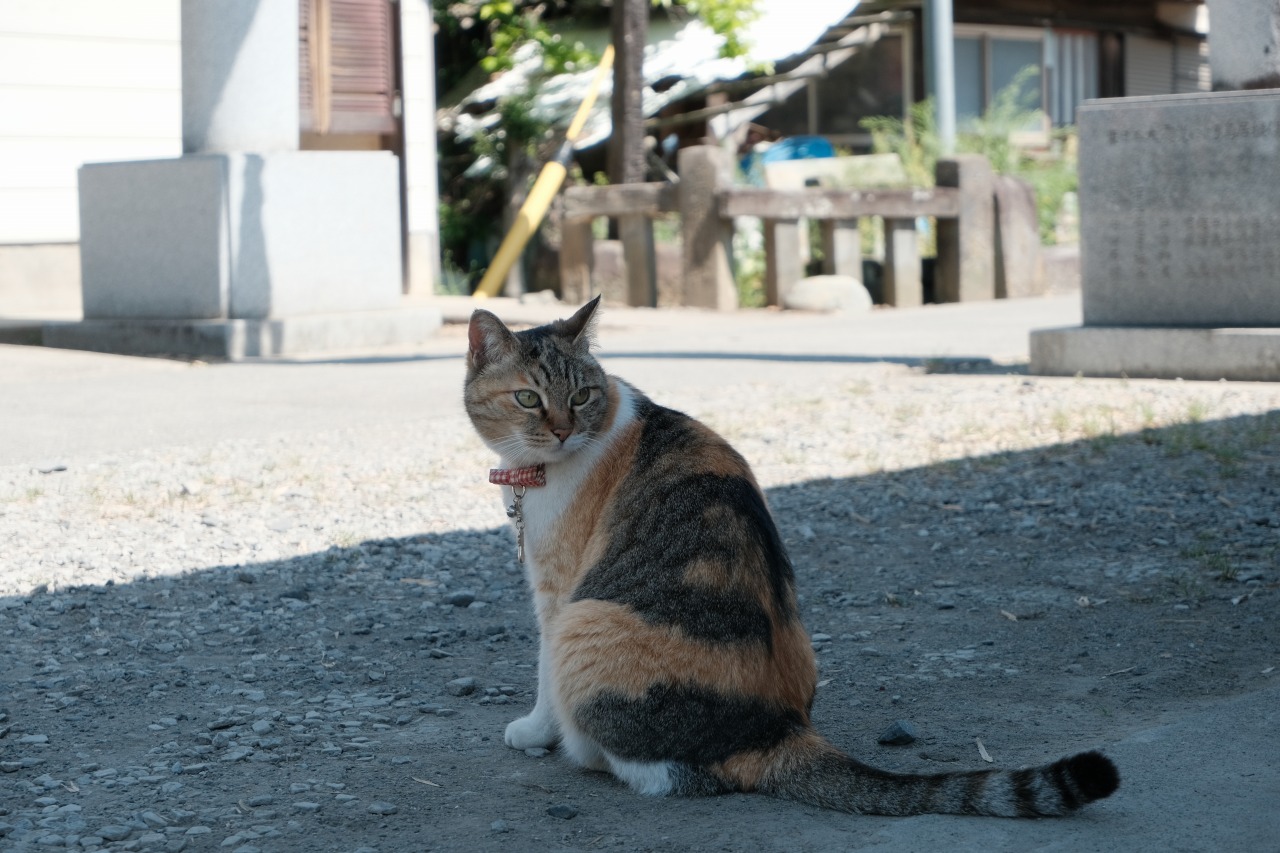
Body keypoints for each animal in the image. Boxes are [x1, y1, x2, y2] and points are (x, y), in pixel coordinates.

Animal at [465, 295, 1116, 814]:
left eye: (580, 395)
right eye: (528, 398)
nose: (561, 431)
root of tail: (778, 730)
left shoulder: (555, 595)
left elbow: (542, 675)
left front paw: (534, 731)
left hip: (585, 620)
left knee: (668, 773)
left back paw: (584, 752)